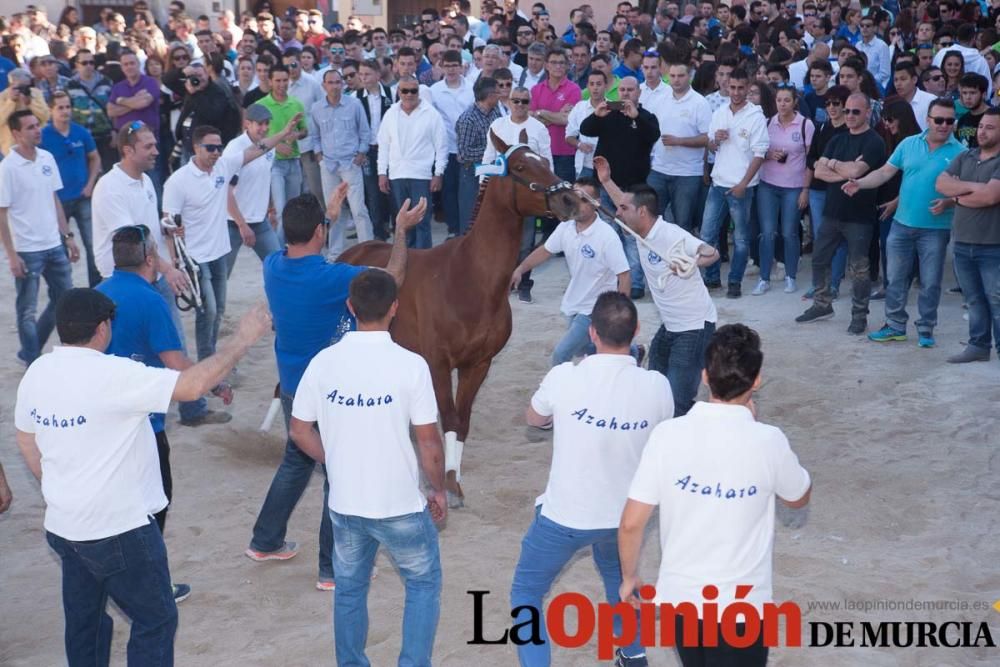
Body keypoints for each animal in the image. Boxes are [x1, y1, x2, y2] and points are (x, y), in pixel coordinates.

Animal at [340, 130, 584, 506]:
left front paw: (454, 480)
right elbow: (450, 417)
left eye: (545, 159)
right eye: (520, 166)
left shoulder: (478, 364)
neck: (469, 279)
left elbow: (462, 420)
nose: (569, 200)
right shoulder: (438, 363)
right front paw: (445, 486)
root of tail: (347, 255)